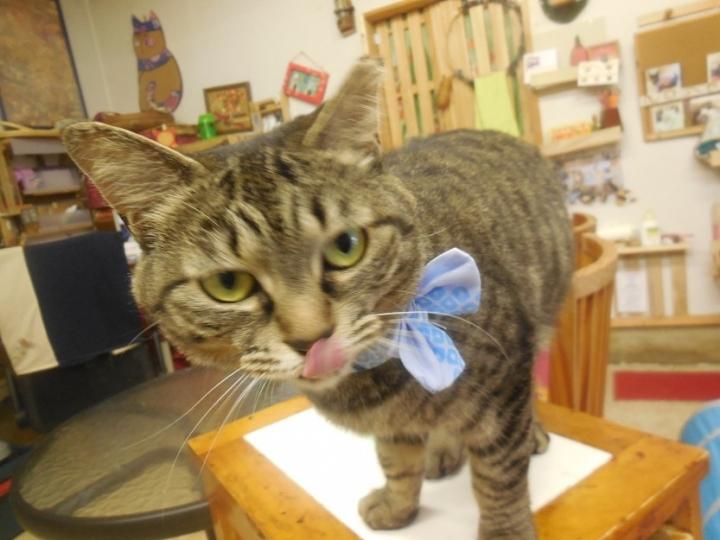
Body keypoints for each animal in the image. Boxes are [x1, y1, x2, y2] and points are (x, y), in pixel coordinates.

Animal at [62, 59, 573, 540]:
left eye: (346, 247)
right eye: (228, 284)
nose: (313, 338)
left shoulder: (504, 378)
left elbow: (498, 477)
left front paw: (505, 529)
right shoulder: (394, 428)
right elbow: (397, 461)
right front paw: (399, 505)